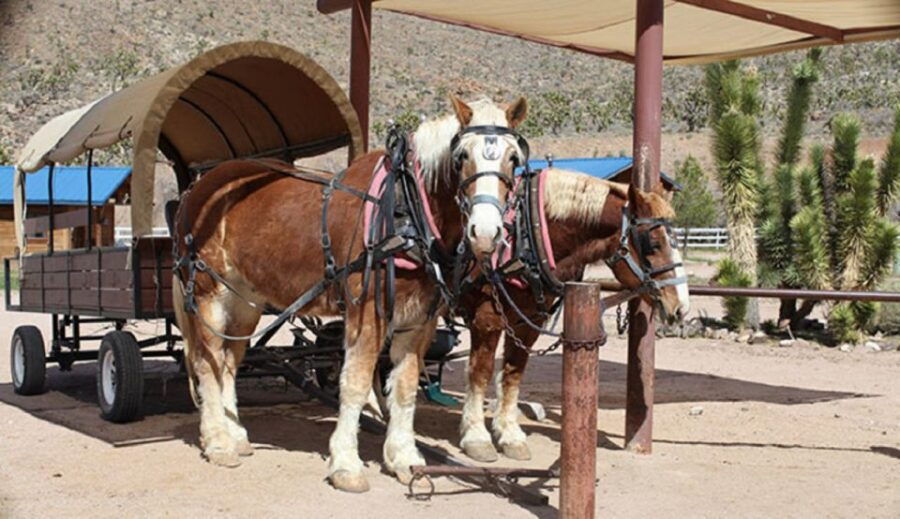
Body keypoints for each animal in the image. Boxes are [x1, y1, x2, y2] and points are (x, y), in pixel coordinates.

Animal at [171, 95, 526, 492]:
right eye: (462, 155)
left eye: (514, 158)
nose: (486, 231)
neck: (404, 208)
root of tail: (197, 189)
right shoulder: (367, 313)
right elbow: (355, 383)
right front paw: (346, 464)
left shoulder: (418, 320)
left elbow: (405, 385)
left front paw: (404, 458)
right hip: (208, 295)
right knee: (207, 362)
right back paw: (218, 441)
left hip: (244, 302)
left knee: (230, 362)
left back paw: (236, 434)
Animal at [456, 168, 690, 462]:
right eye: (654, 243)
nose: (682, 307)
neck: (527, 234)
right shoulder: (486, 318)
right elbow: (480, 373)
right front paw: (476, 438)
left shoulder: (527, 323)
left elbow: (512, 373)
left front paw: (509, 435)